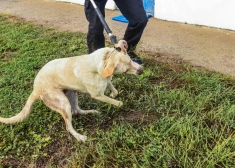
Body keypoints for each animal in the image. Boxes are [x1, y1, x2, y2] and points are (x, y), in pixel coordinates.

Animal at [0, 40, 143, 141]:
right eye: (126, 70)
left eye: (131, 60)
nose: (141, 71)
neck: (105, 59)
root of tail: (36, 89)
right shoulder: (97, 95)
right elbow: (117, 102)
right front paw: (119, 103)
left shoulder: (106, 80)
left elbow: (112, 87)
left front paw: (113, 92)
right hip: (63, 103)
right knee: (68, 126)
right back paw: (79, 137)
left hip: (72, 94)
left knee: (76, 111)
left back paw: (91, 112)